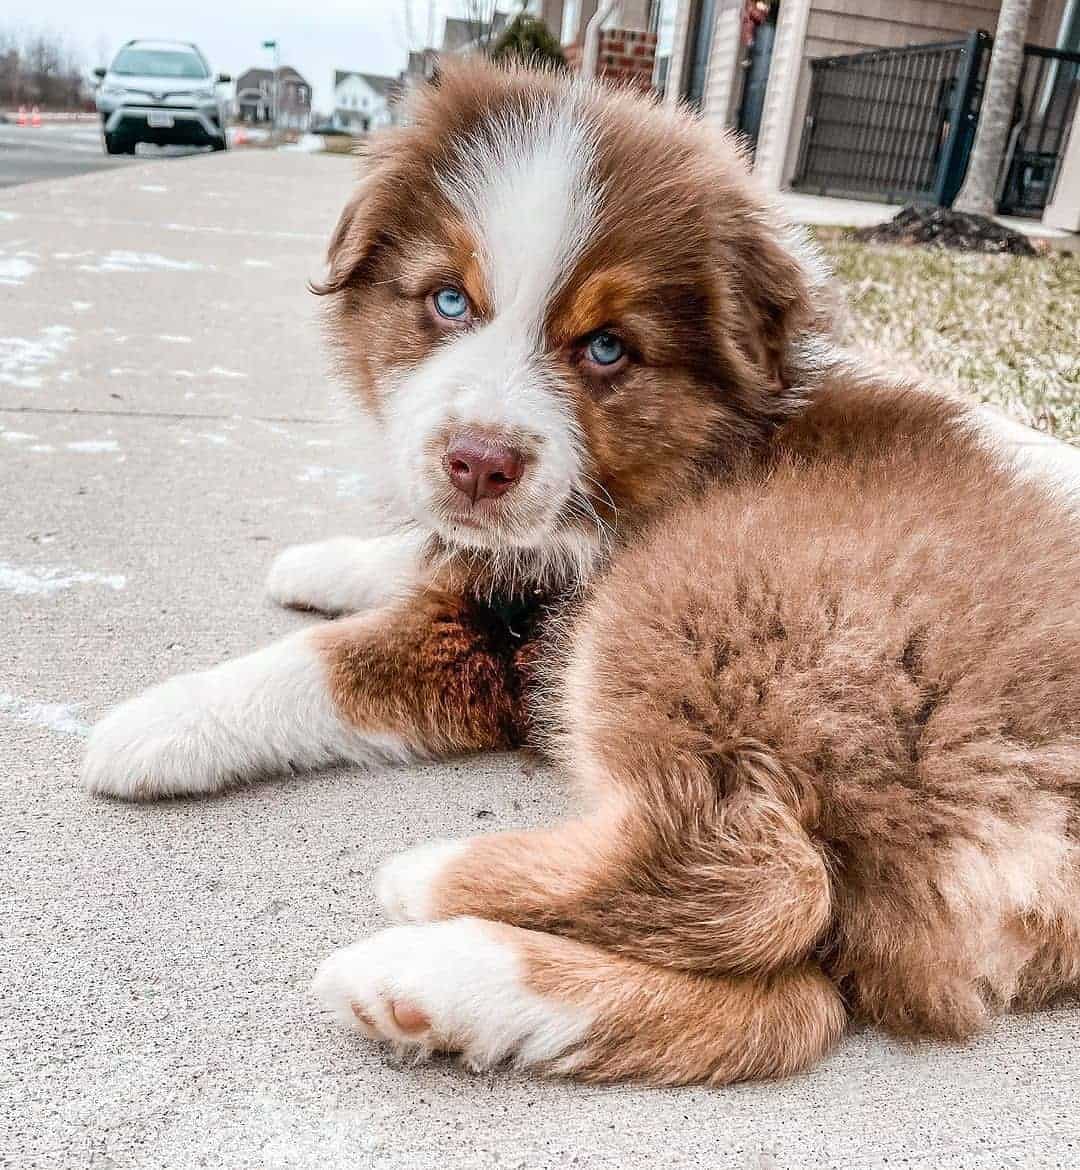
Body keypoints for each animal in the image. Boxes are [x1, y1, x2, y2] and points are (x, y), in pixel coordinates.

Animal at [82, 64, 1080, 1085]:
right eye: (448, 302)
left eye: (607, 349)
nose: (479, 463)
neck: (688, 457)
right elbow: (432, 547)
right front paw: (323, 561)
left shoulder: (509, 637)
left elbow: (324, 664)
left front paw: (152, 725)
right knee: (795, 1009)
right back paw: (437, 991)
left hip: (689, 605)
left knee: (765, 882)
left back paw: (429, 885)